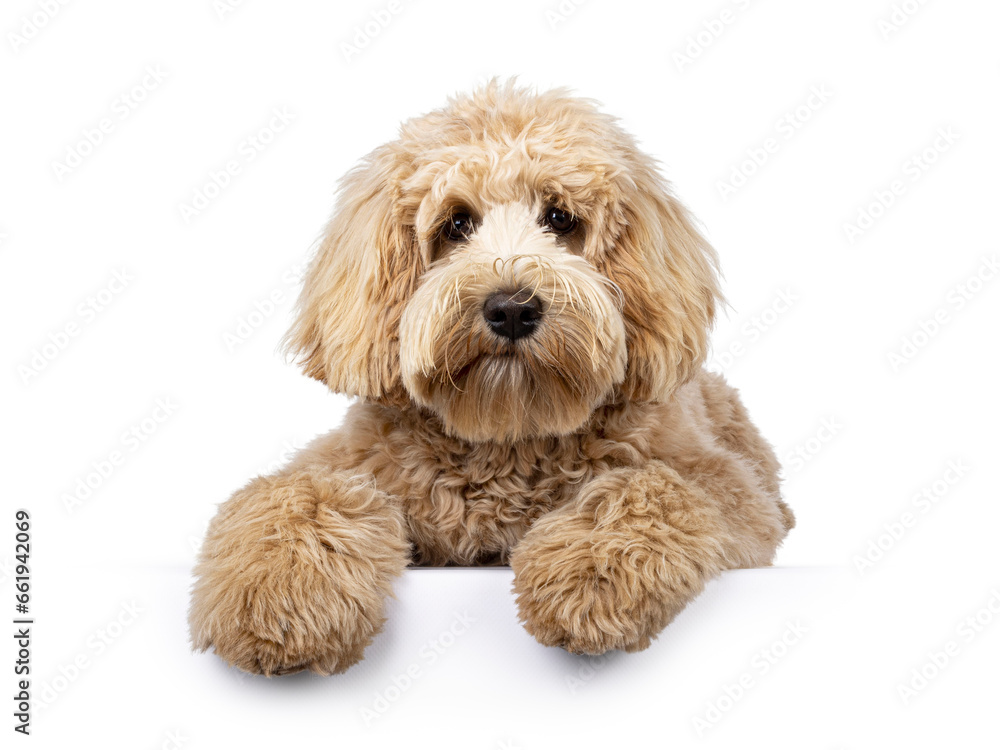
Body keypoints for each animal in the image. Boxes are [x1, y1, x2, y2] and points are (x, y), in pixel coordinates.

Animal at [189, 83, 796, 680]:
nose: (511, 309)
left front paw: (588, 577)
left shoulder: (731, 490)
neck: (506, 436)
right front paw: (277, 593)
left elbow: (656, 487)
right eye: (456, 223)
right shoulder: (358, 461)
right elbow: (298, 492)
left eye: (560, 218)